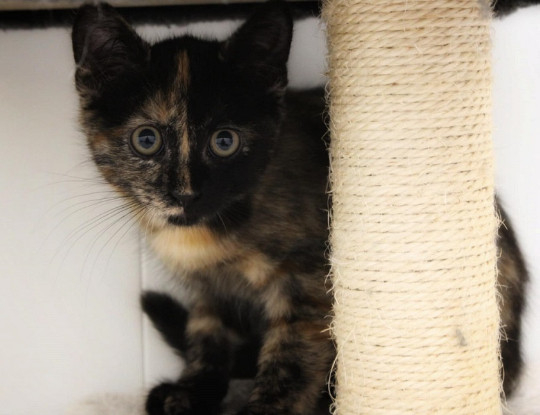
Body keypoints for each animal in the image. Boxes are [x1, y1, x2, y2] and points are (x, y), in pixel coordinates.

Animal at [71, 2, 527, 414]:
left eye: (225, 142)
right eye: (146, 140)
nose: (186, 193)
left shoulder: (308, 283)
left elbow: (291, 356)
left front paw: (265, 409)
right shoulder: (207, 288)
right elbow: (206, 335)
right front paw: (192, 391)